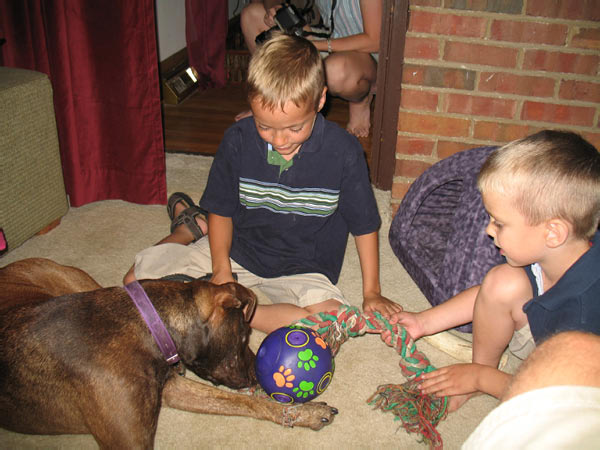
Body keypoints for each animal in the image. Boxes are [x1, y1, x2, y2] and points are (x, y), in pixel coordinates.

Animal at [0, 258, 338, 448]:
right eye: (244, 336)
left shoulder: (171, 387)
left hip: (73, 279)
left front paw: (301, 412)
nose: (257, 375)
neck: (149, 326)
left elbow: (243, 403)